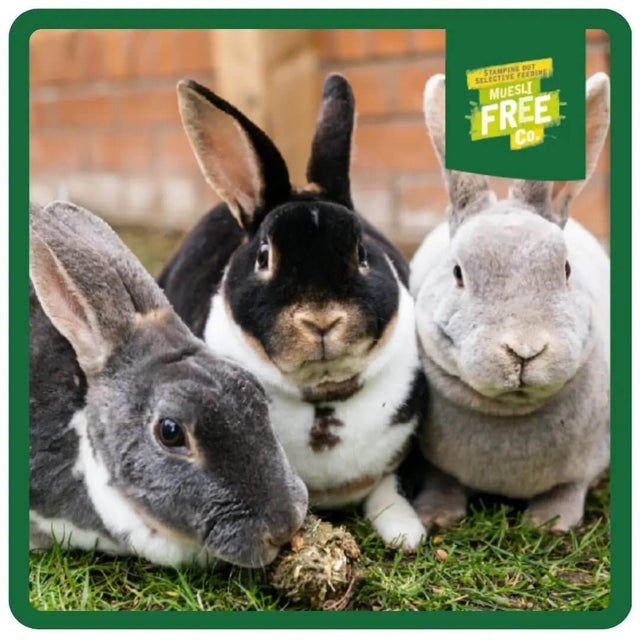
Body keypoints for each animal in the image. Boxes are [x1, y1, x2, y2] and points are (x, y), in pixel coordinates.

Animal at [158, 74, 427, 550]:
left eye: (362, 252)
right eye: (265, 255)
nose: (320, 320)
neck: (323, 400)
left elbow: (389, 488)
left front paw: (406, 534)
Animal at [409, 72, 610, 533]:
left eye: (566, 269)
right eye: (458, 273)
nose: (525, 351)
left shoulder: (587, 461)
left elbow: (570, 488)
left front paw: (550, 522)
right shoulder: (435, 463)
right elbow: (442, 480)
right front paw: (435, 516)